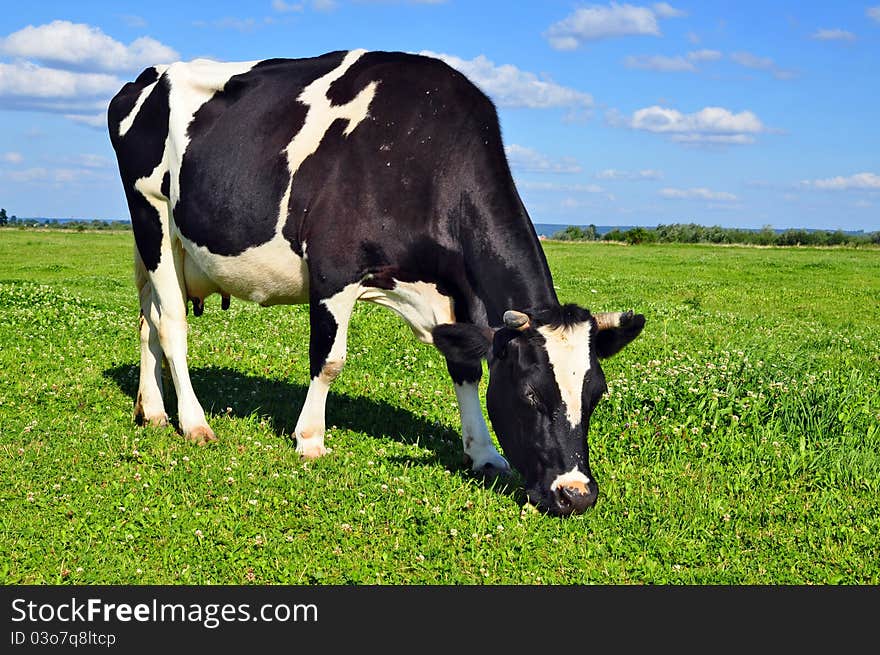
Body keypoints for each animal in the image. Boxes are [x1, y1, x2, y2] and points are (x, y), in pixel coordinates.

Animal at [110, 48, 648, 516]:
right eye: (531, 394)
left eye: (596, 394)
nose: (577, 494)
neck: (419, 154)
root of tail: (149, 75)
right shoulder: (333, 268)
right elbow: (328, 360)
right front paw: (310, 439)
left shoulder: (455, 293)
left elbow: (464, 366)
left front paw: (482, 453)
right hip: (151, 213)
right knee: (172, 324)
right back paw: (193, 422)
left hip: (158, 244)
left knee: (148, 320)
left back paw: (151, 410)